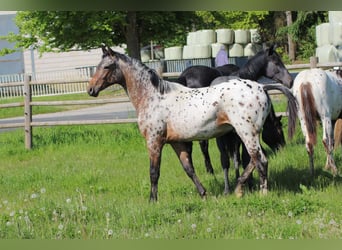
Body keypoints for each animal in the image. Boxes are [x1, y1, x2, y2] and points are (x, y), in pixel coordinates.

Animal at [87, 47, 296, 201]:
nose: (91, 90)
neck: (154, 96)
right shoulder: (177, 142)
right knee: (252, 160)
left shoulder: (154, 142)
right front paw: (203, 194)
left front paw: (152, 200)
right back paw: (238, 189)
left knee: (260, 160)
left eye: (106, 67)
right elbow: (189, 169)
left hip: (246, 133)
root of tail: (261, 86)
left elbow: (154, 172)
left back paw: (261, 193)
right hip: (246, 134)